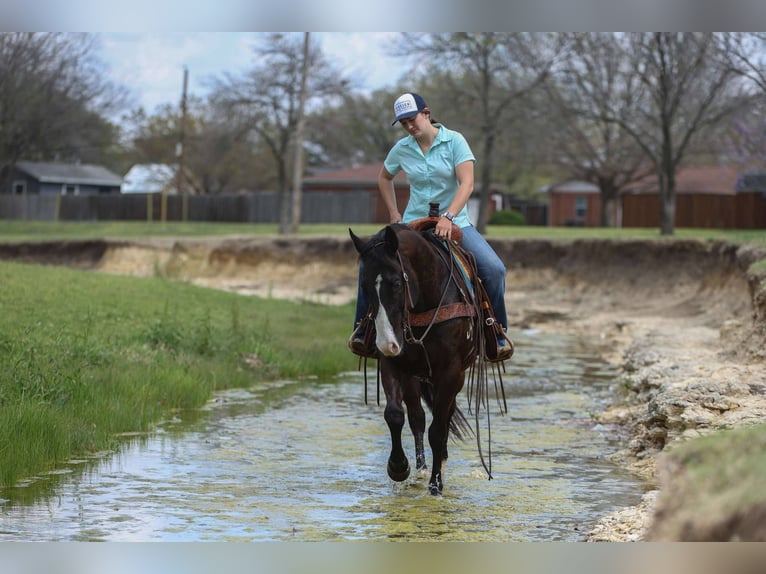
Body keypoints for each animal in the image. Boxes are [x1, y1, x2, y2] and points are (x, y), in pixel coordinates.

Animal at [350, 222, 503, 495]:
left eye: (397, 283)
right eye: (364, 286)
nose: (387, 343)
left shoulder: (451, 373)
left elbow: (438, 430)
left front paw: (436, 484)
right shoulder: (393, 364)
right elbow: (395, 414)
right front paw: (399, 467)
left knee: (442, 419)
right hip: (415, 376)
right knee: (417, 417)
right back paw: (420, 469)